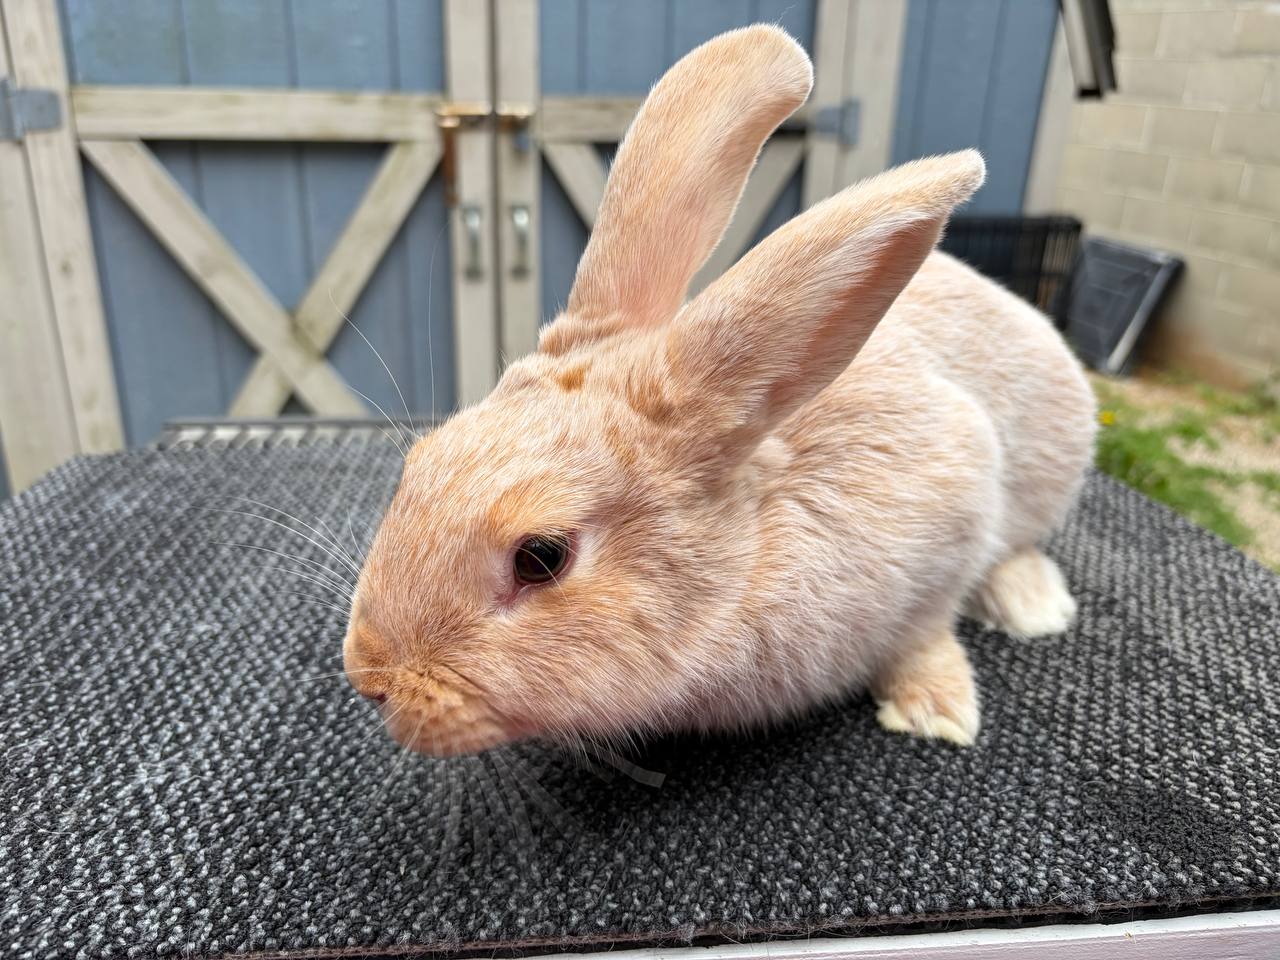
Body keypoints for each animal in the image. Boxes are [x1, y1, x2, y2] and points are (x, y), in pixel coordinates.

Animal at [343, 24, 1097, 757]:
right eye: (417, 463)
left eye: (541, 558)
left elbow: (926, 631)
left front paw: (935, 711)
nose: (371, 678)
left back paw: (1035, 606)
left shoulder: (950, 524)